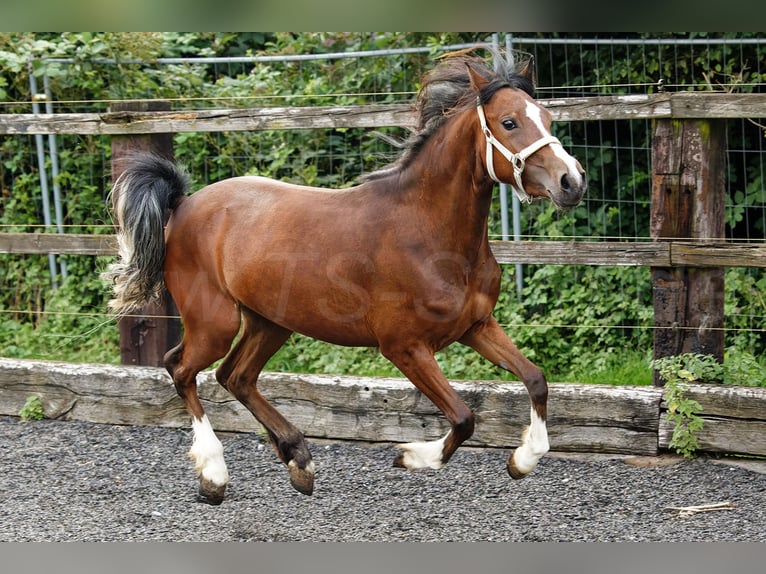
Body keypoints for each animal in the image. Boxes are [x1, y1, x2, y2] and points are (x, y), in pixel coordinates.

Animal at [103, 51, 588, 506]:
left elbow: (536, 379)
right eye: (509, 122)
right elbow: (464, 418)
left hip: (270, 322)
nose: (572, 182)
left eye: (547, 117)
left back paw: (299, 461)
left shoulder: (476, 326)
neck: (430, 233)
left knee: (234, 376)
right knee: (181, 368)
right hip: (215, 321)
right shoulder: (404, 347)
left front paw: (521, 460)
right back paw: (214, 476)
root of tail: (183, 204)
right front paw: (410, 455)